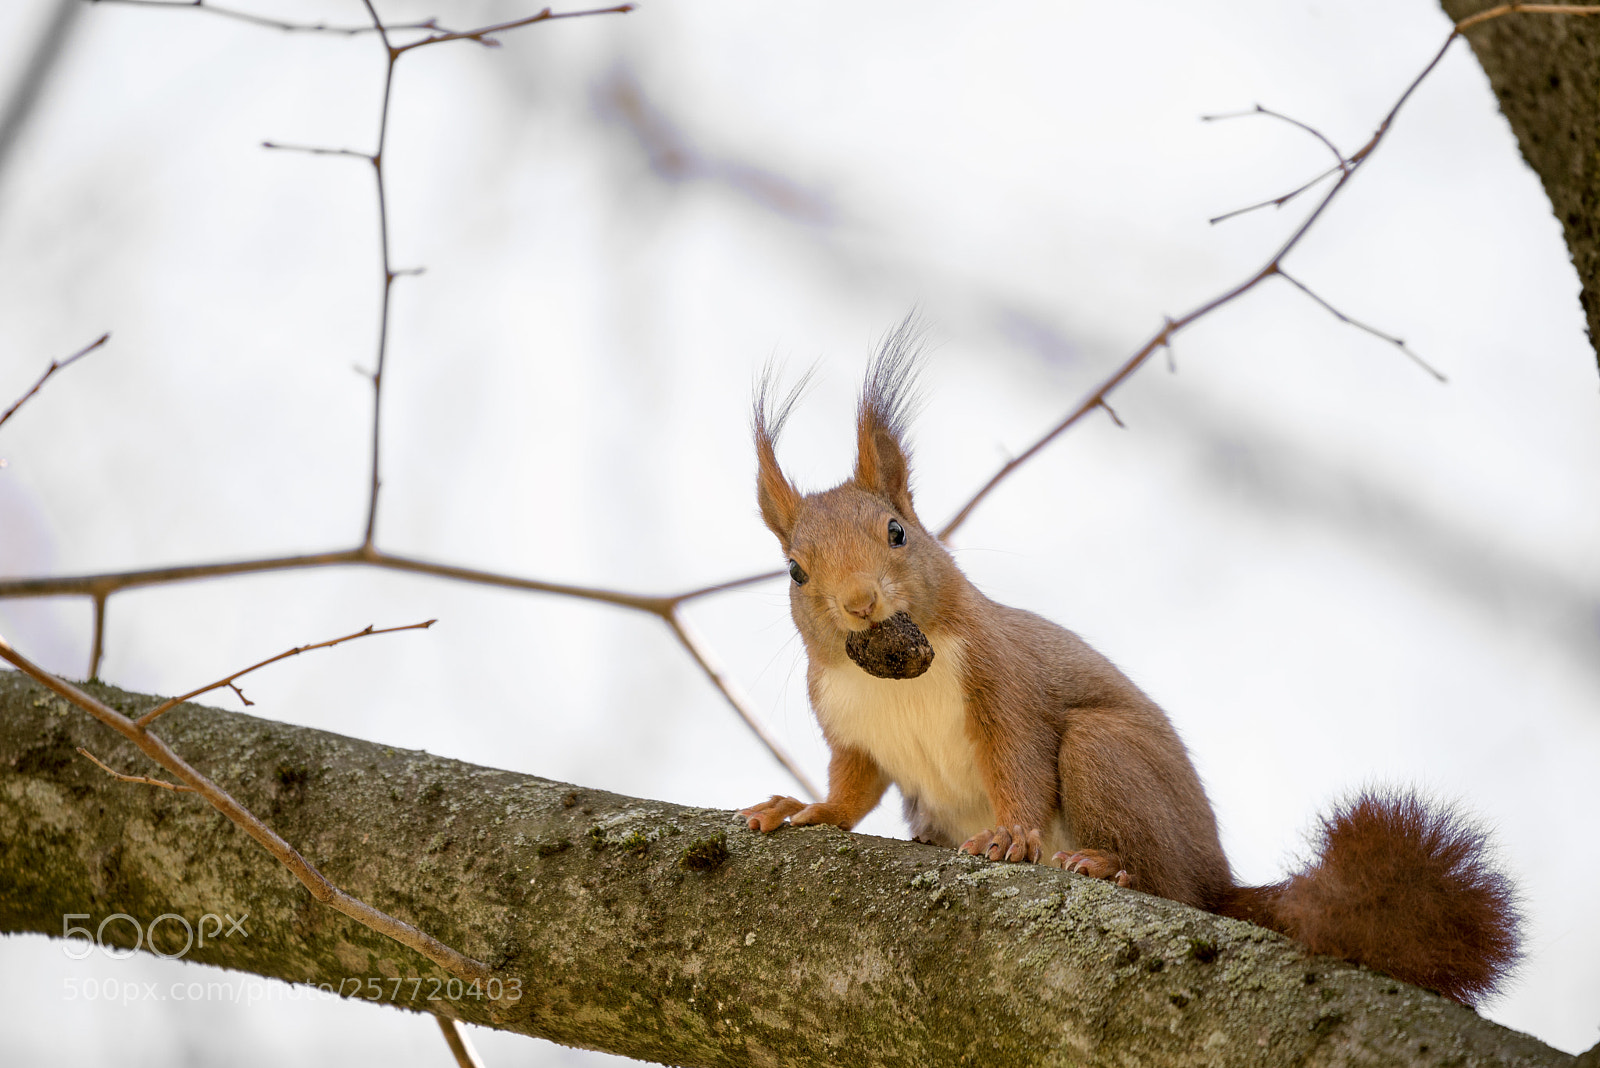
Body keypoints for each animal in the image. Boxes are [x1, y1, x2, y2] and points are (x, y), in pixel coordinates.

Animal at [738, 321, 1521, 1007]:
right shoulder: (848, 725)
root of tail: (1218, 875)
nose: (860, 602)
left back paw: (1111, 864)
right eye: (795, 572)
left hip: (1106, 754)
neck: (893, 675)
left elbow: (1018, 756)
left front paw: (1014, 832)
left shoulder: (1003, 677)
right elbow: (854, 787)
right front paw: (805, 808)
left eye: (897, 532)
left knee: (1169, 883)